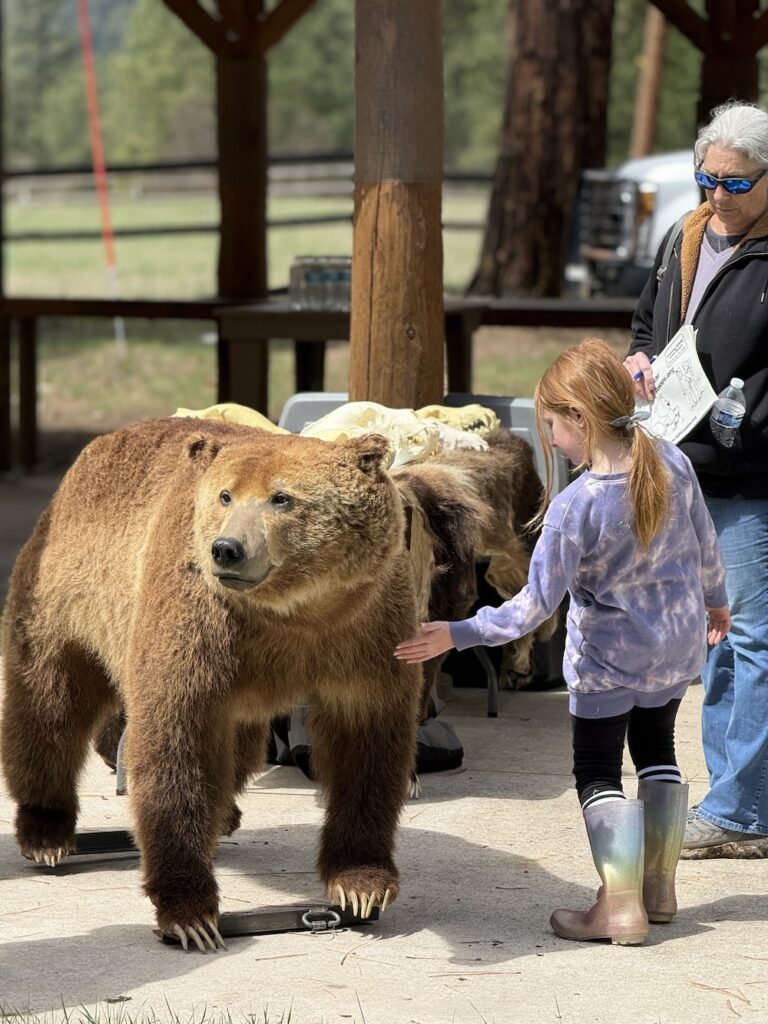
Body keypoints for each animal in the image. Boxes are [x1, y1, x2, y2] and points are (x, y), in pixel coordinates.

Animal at [0, 417, 424, 951]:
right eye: (225, 495)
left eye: (281, 497)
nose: (227, 550)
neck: (294, 613)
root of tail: (96, 447)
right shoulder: (199, 620)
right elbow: (177, 743)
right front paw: (191, 913)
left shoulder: (365, 630)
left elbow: (366, 749)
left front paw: (360, 886)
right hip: (68, 589)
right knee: (49, 700)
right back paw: (47, 833)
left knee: (236, 750)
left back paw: (221, 813)